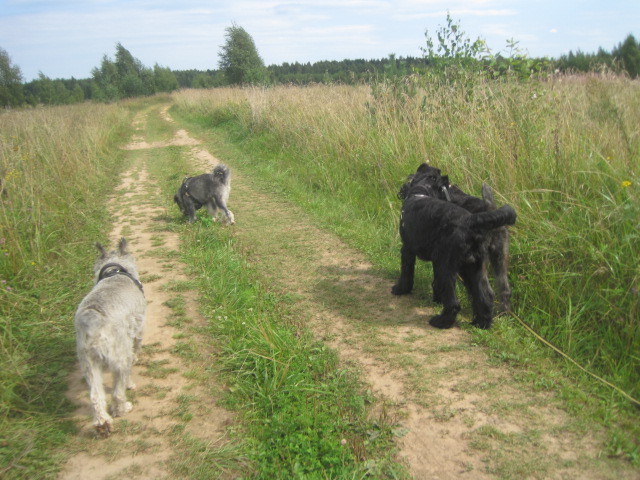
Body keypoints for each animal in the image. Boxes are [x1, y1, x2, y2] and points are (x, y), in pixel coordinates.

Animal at [74, 238, 146, 437]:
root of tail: (93, 322)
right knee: (117, 391)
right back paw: (123, 406)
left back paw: (102, 424)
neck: (115, 272)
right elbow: (137, 346)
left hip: (88, 363)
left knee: (96, 396)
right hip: (119, 356)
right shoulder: (138, 328)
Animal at [392, 165, 516, 329]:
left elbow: (406, 272)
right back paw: (482, 322)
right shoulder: (436, 259)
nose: (402, 189)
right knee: (489, 294)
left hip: (450, 266)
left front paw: (400, 289)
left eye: (411, 177)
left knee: (454, 301)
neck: (421, 192)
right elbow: (436, 282)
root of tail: (471, 221)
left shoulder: (407, 249)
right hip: (481, 264)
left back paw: (441, 321)